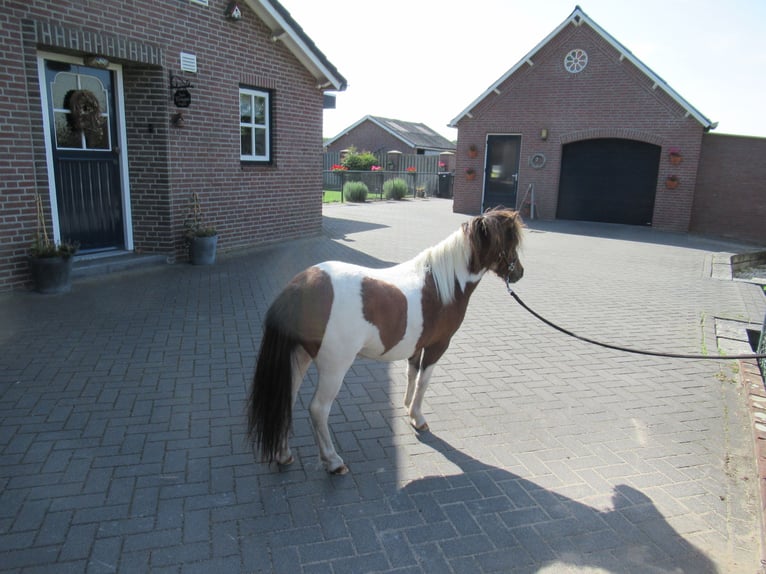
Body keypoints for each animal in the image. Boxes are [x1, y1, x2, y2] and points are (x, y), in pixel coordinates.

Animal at [247, 207, 524, 474]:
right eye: (511, 241)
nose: (519, 272)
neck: (443, 284)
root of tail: (299, 285)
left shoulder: (416, 346)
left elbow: (411, 374)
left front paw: (407, 408)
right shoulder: (437, 346)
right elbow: (423, 381)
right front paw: (418, 418)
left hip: (299, 356)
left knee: (286, 400)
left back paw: (284, 454)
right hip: (334, 367)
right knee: (318, 409)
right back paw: (333, 462)